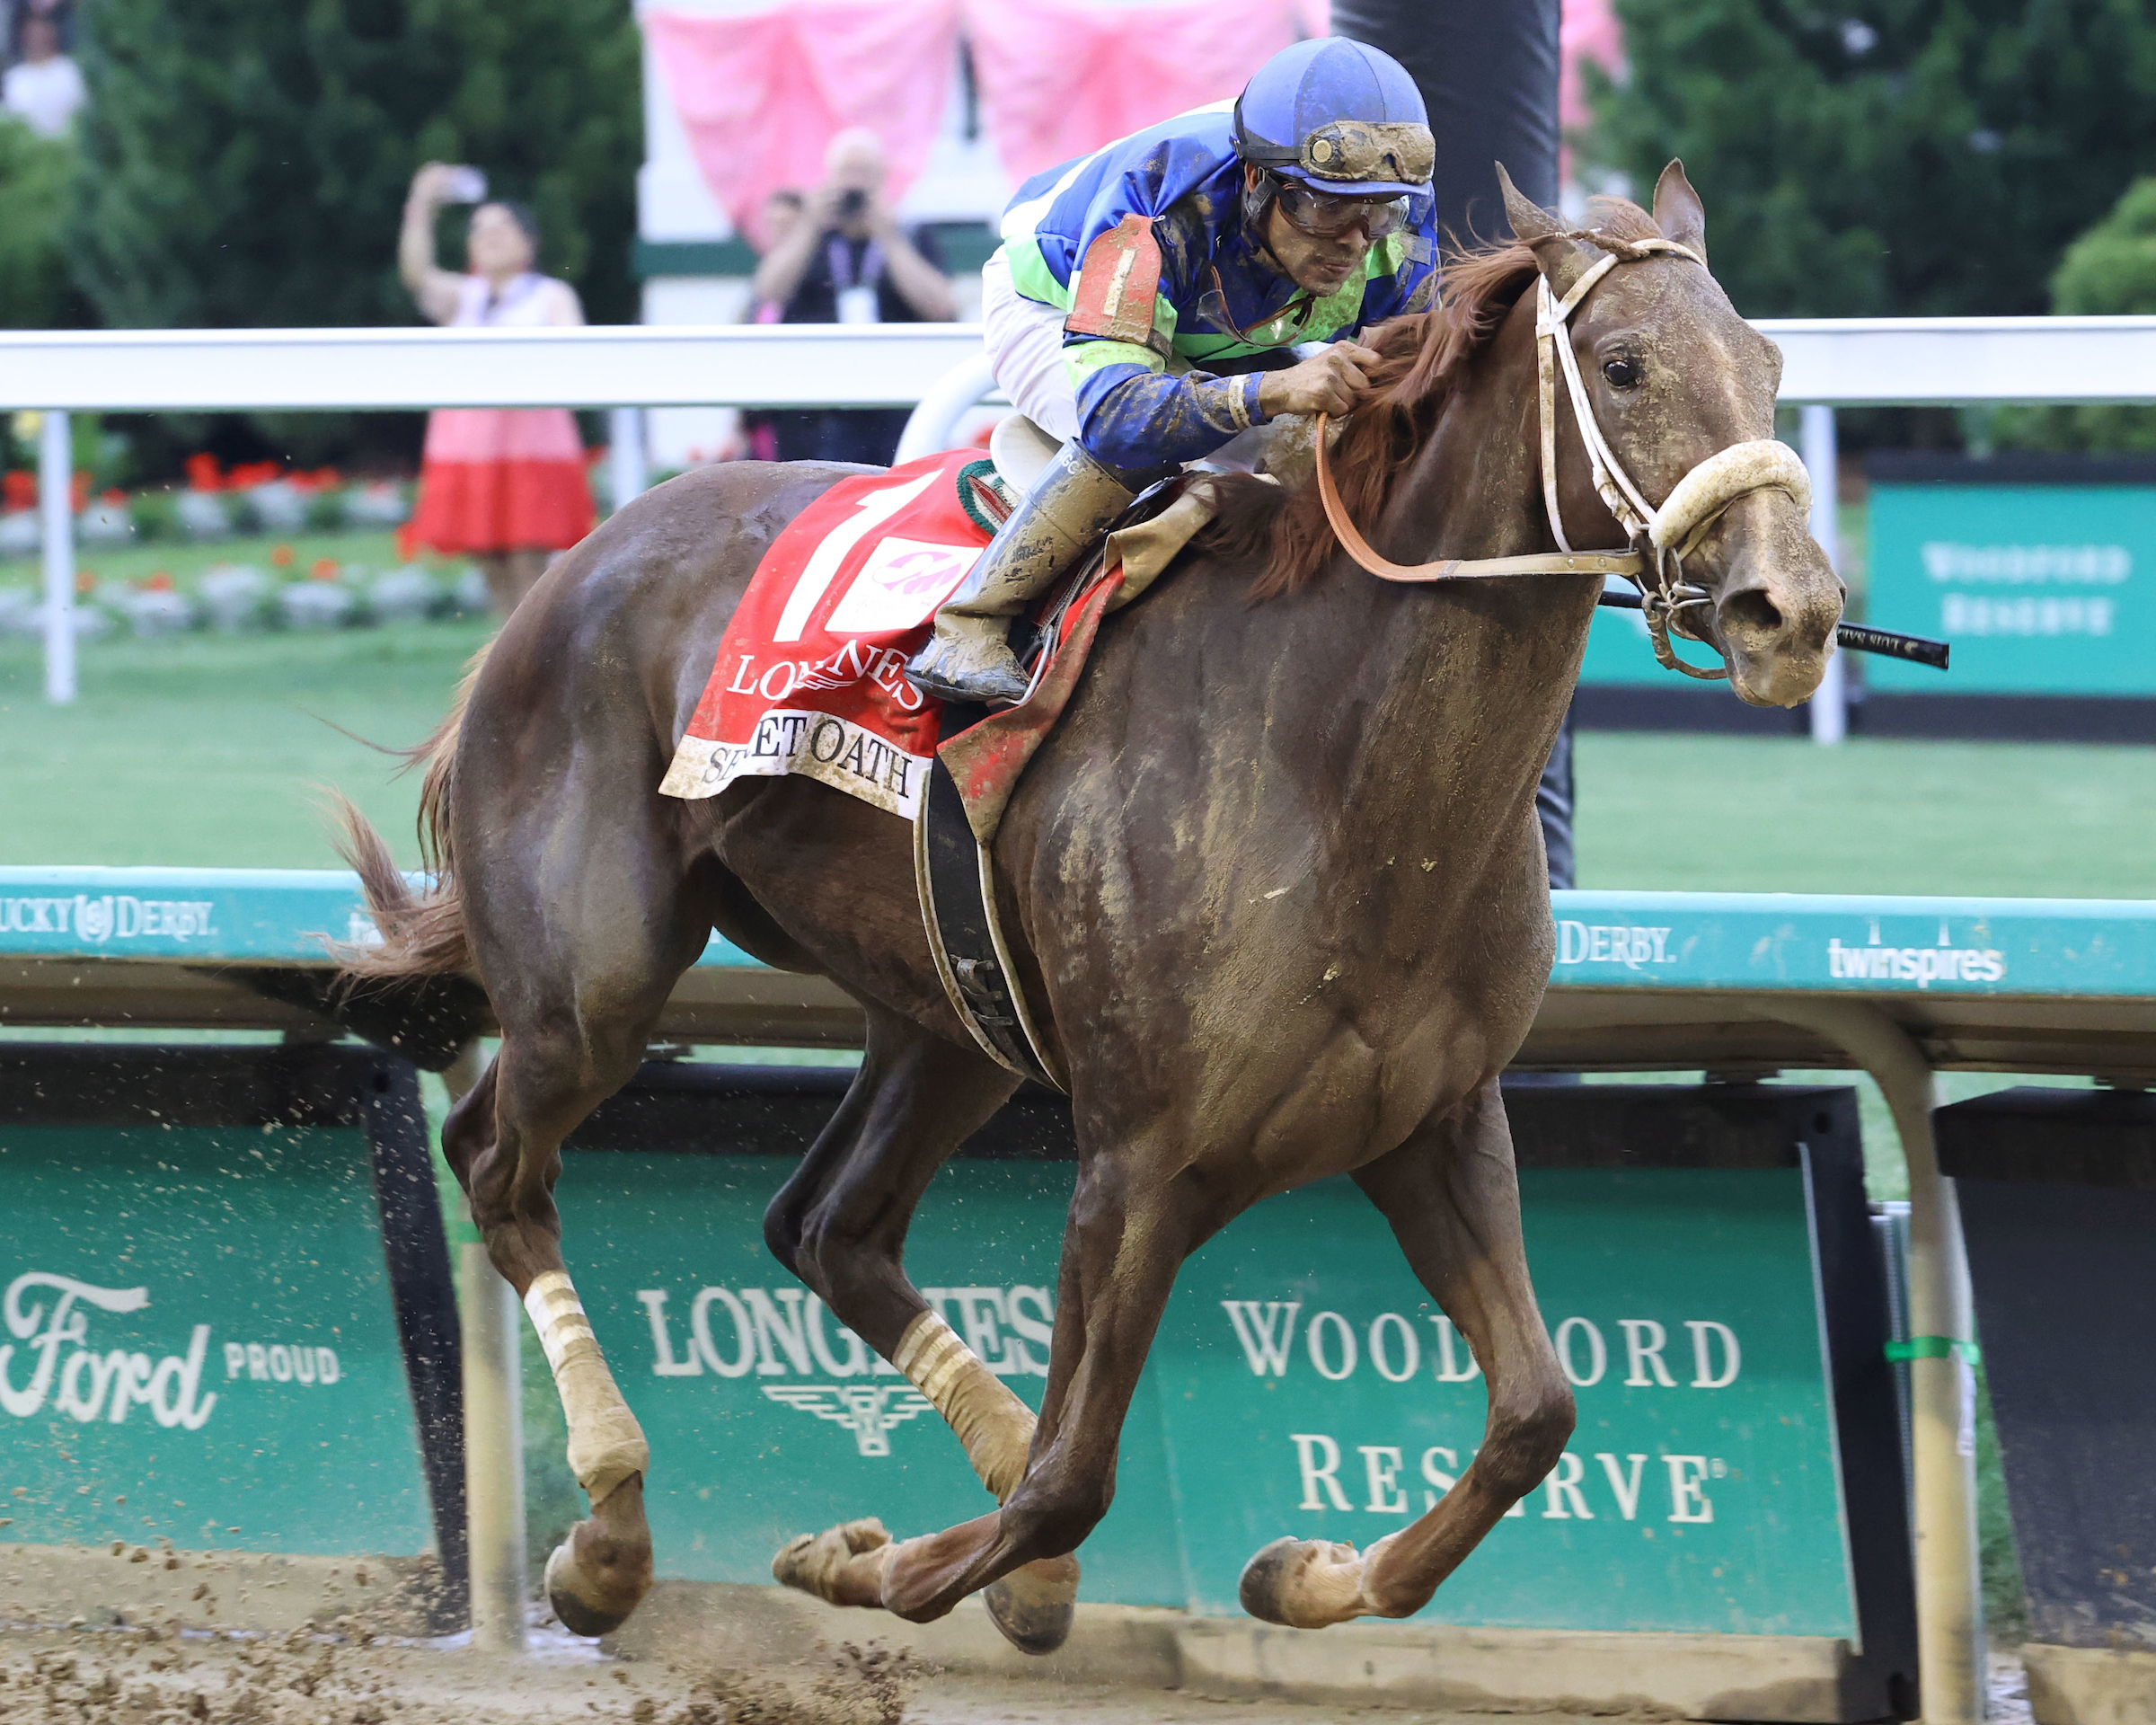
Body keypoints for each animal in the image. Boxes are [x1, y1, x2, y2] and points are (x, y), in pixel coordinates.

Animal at [336, 168, 1836, 1647]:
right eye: (1624, 364)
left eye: (1769, 363)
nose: (1794, 609)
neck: (1339, 765)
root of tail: (579, 560)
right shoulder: (1139, 1160)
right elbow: (1071, 1481)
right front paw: (854, 1560)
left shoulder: (1435, 1121)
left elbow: (1535, 1414)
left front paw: (1303, 1575)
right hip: (594, 982)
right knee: (498, 1162)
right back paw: (607, 1535)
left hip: (946, 1016)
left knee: (827, 1227)